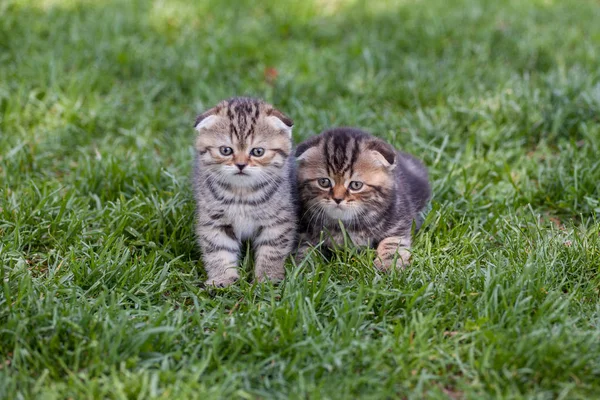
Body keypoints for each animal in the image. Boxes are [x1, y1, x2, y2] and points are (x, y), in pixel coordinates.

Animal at [192, 98, 298, 286]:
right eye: (226, 150)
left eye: (258, 151)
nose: (241, 165)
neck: (242, 194)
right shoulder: (214, 220)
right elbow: (219, 249)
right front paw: (223, 278)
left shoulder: (278, 221)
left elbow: (272, 250)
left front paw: (267, 278)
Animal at [296, 127, 432, 272]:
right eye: (324, 182)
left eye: (356, 185)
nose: (337, 199)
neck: (347, 224)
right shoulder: (304, 230)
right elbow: (304, 249)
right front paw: (304, 267)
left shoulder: (399, 222)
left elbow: (392, 245)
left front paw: (387, 266)